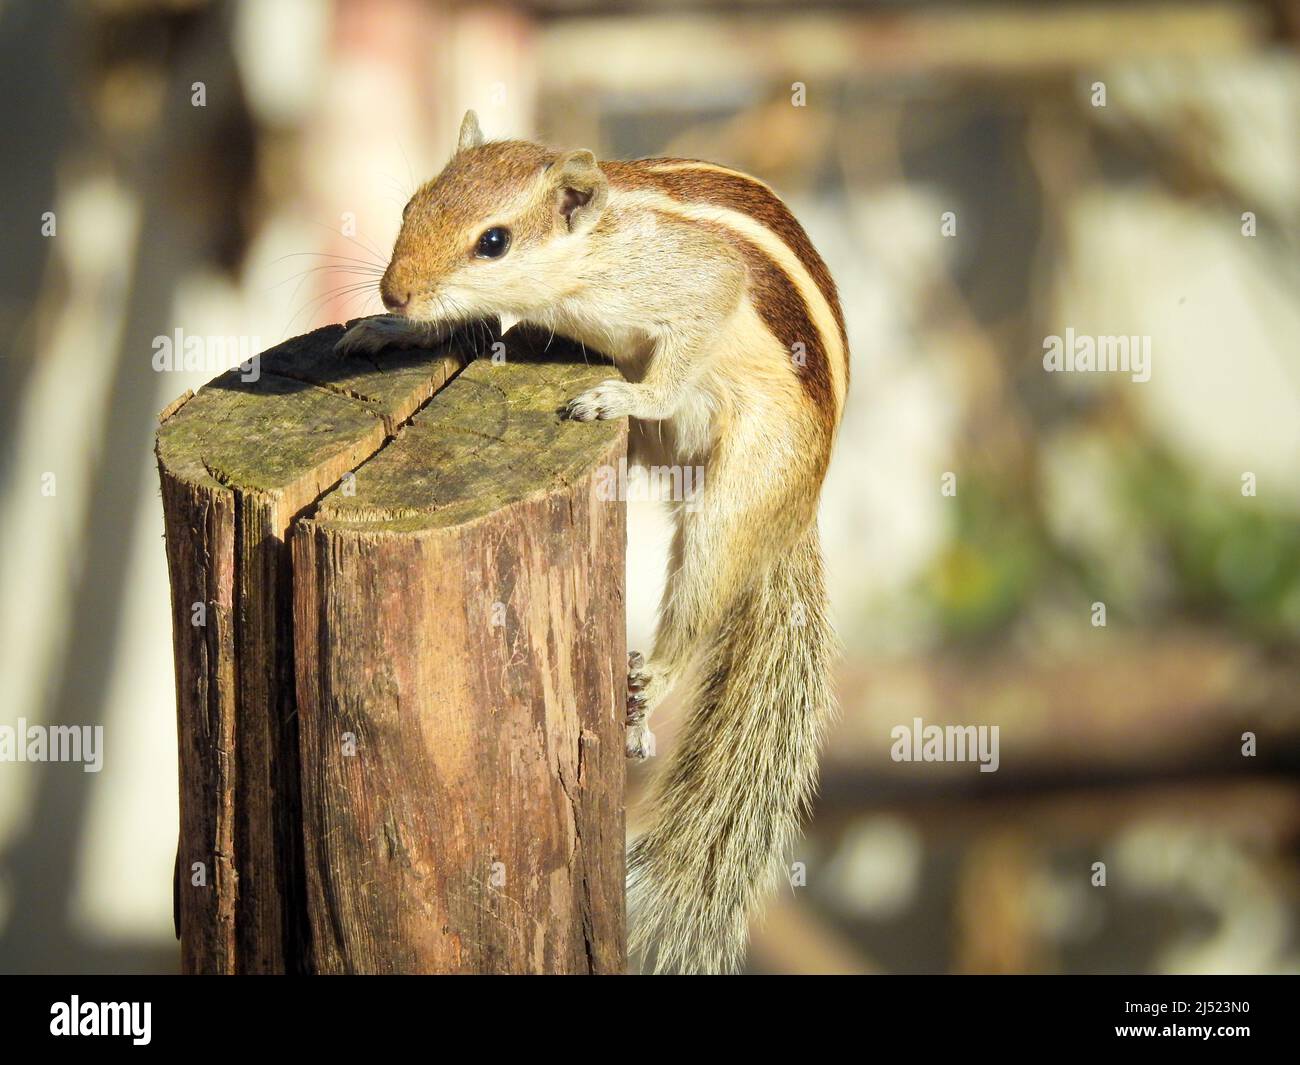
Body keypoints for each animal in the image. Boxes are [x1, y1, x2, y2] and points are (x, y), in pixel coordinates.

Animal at [335, 108, 847, 972]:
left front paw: (622, 393)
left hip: (746, 486)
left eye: (494, 241)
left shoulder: (693, 282)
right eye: (412, 204)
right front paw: (384, 332)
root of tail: (798, 510)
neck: (586, 256)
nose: (392, 289)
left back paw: (653, 681)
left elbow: (684, 342)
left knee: (704, 587)